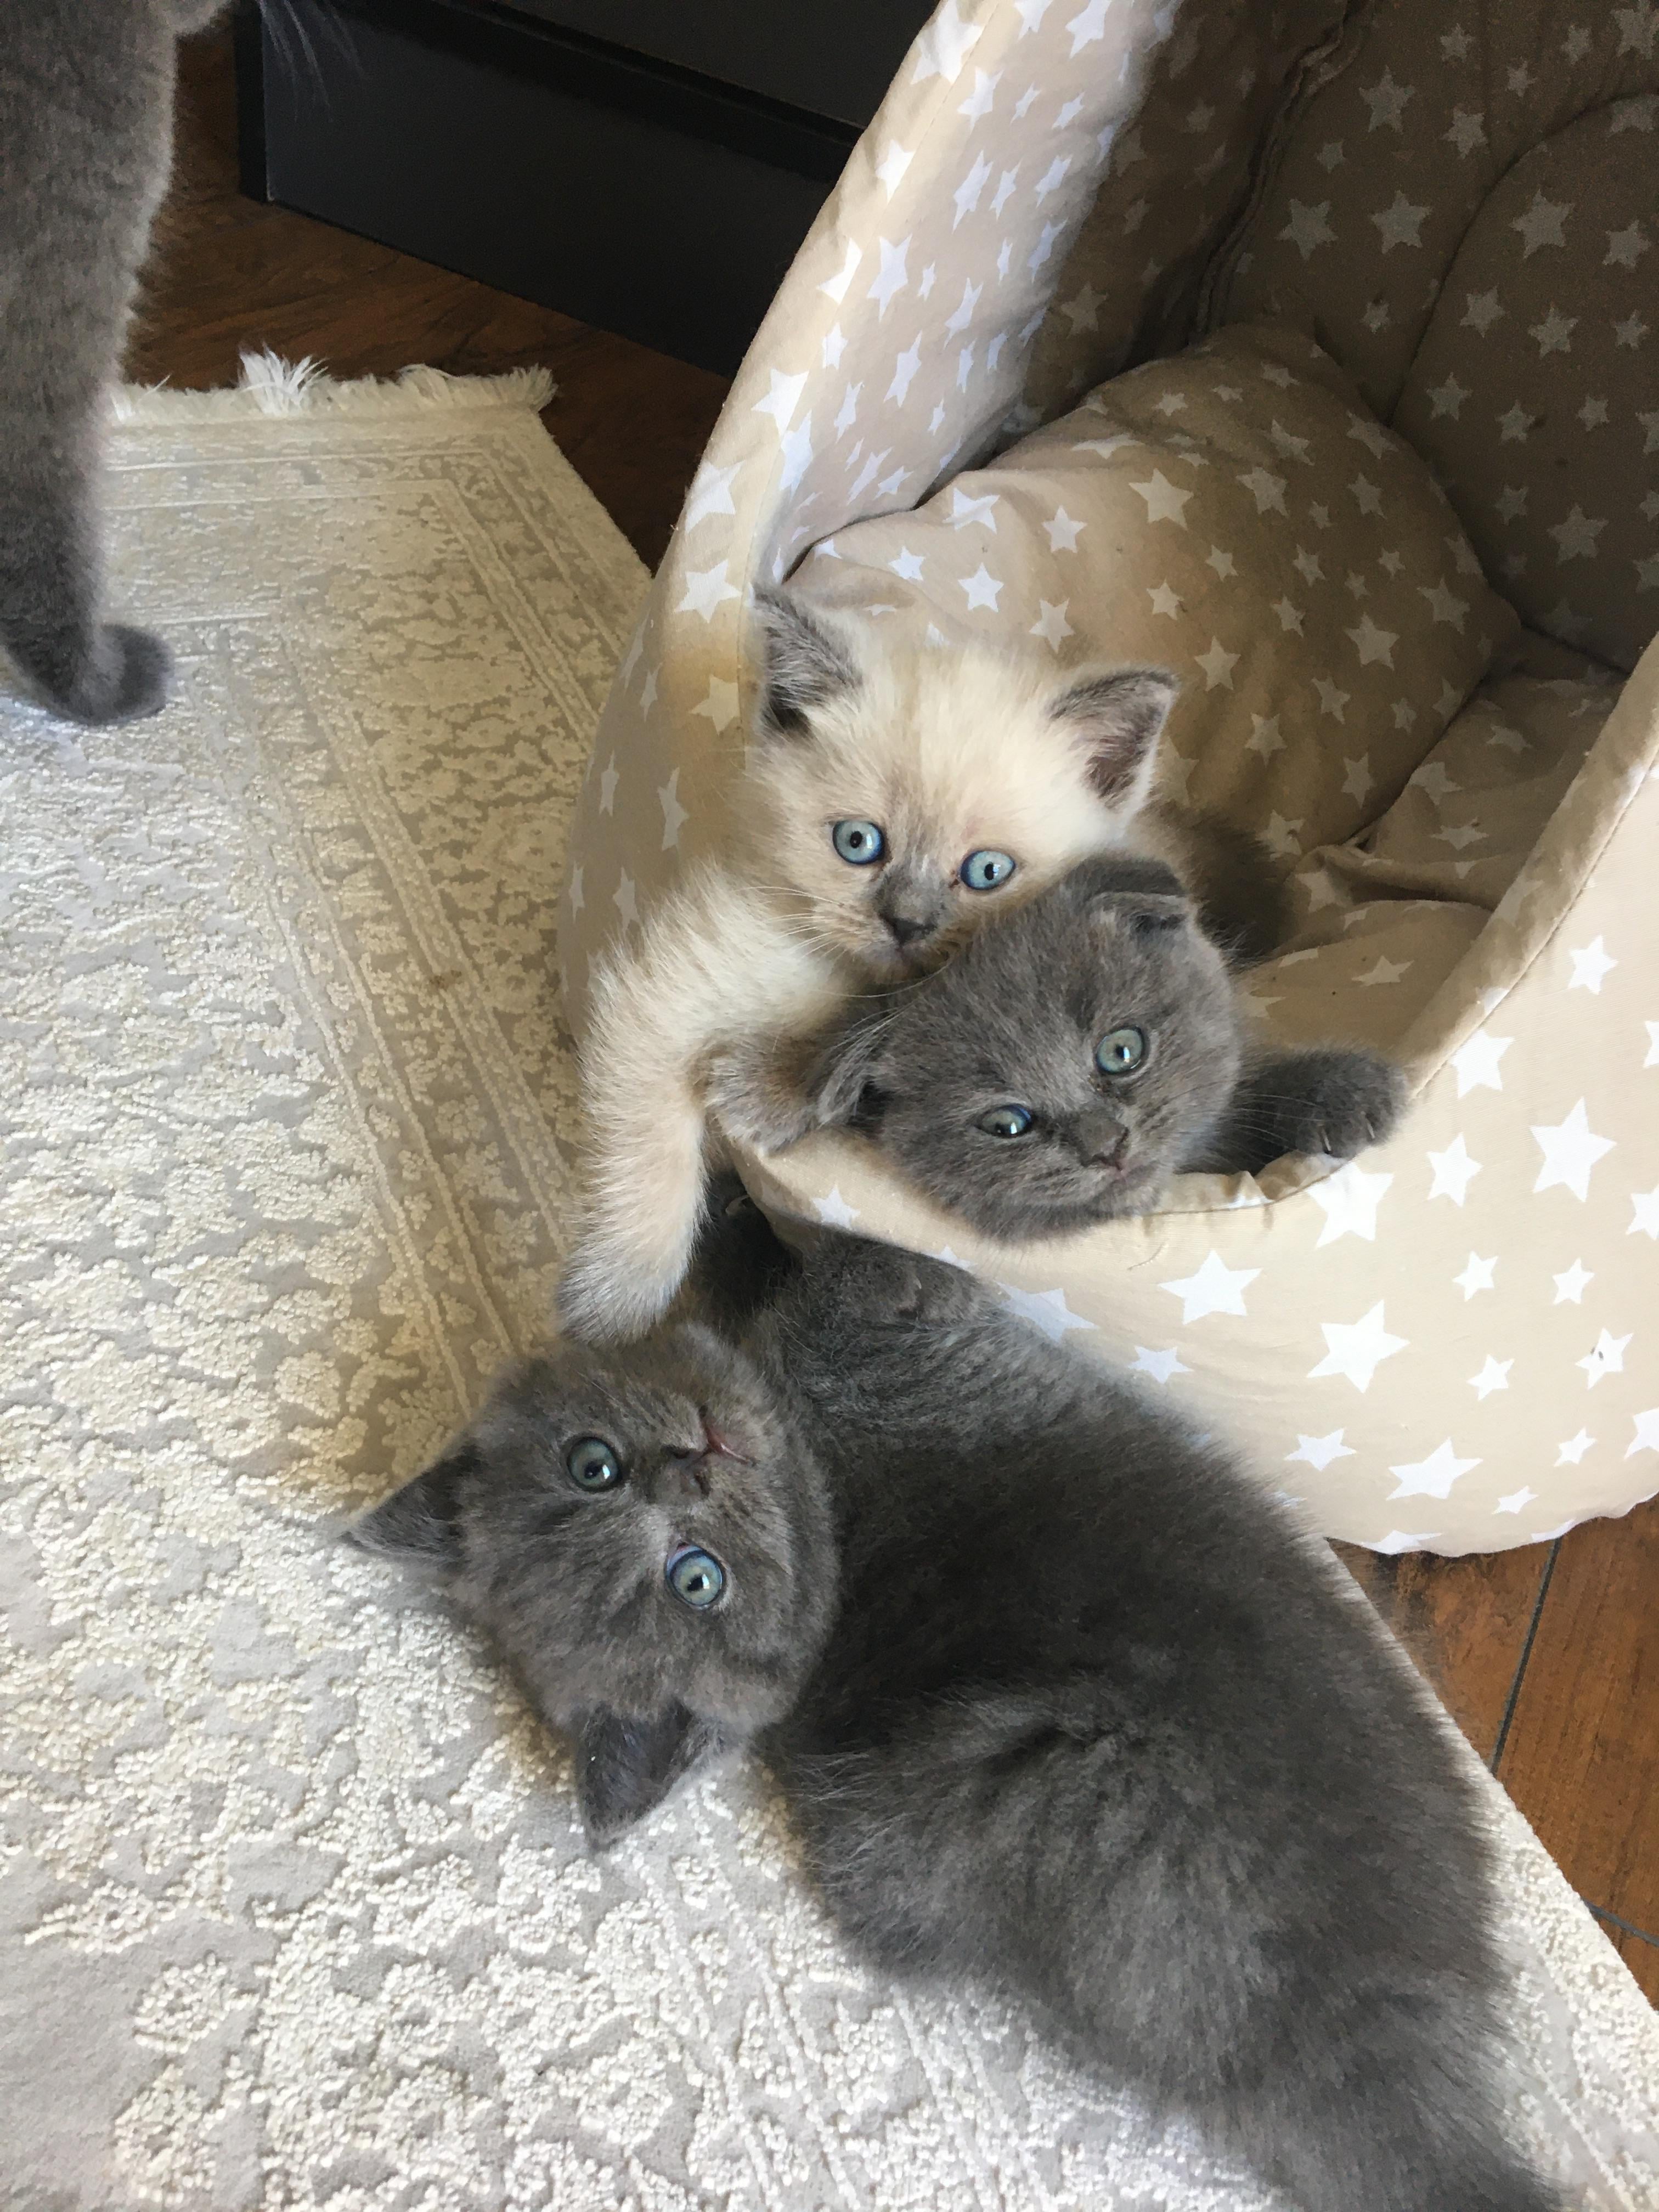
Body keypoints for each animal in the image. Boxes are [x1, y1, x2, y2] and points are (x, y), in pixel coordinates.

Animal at [355, 1200, 1558, 2212]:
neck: (815, 1454)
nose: (691, 1465)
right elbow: (858, 1269)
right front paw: (747, 1210)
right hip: (999, 1808)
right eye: (699, 1579)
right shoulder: (904, 1314)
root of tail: (1377, 2020)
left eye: (591, 1464)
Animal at [559, 588, 1282, 1340]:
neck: (853, 980)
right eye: (858, 843)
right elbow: (648, 1147)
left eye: (988, 871)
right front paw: (618, 1302)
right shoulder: (670, 991)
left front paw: (768, 1091)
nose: (906, 922)